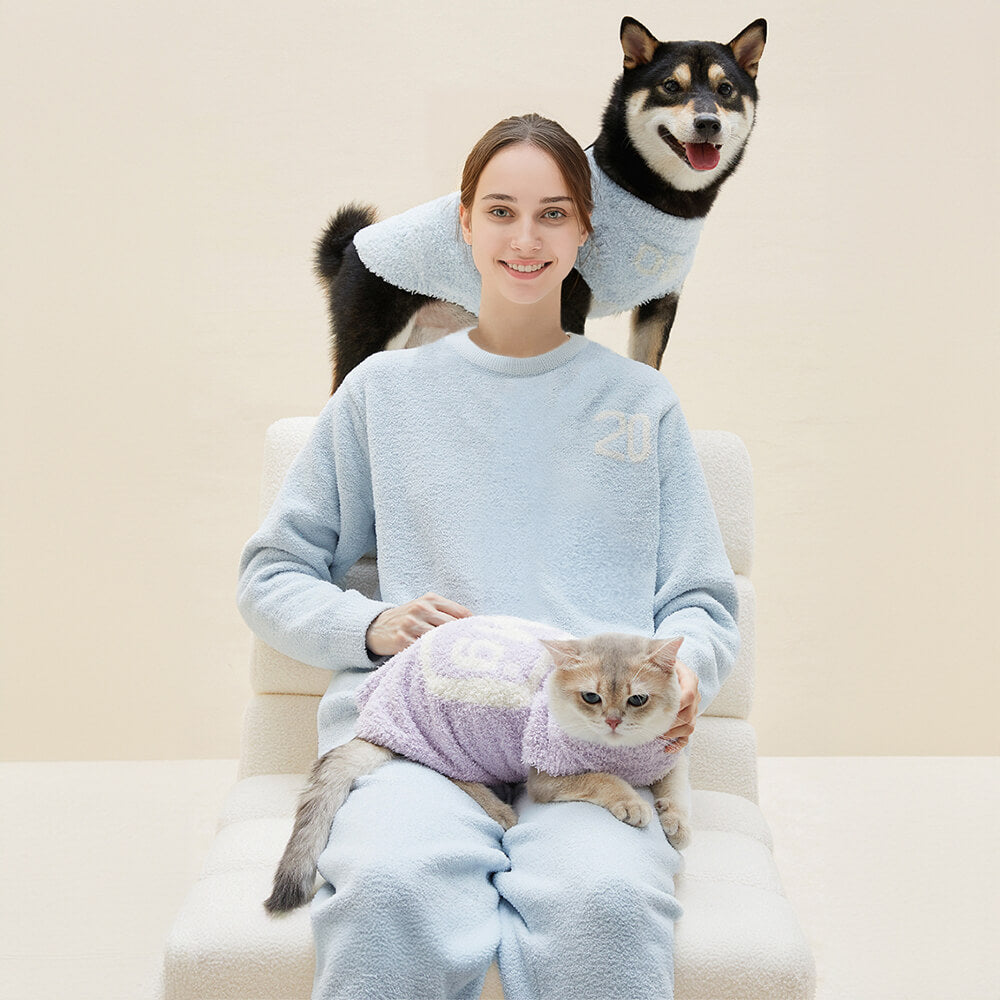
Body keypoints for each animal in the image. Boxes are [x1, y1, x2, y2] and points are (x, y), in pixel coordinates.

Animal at [262, 608, 692, 916]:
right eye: (591, 697)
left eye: (637, 699)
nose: (613, 721)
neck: (624, 752)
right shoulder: (546, 778)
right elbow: (604, 778)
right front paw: (634, 802)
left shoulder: (669, 752)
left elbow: (675, 786)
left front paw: (676, 821)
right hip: (451, 743)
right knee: (450, 773)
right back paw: (500, 810)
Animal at [318, 16, 764, 390]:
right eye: (671, 86)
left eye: (725, 90)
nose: (708, 123)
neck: (646, 193)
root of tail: (351, 247)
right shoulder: (569, 300)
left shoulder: (660, 302)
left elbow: (649, 367)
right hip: (371, 337)